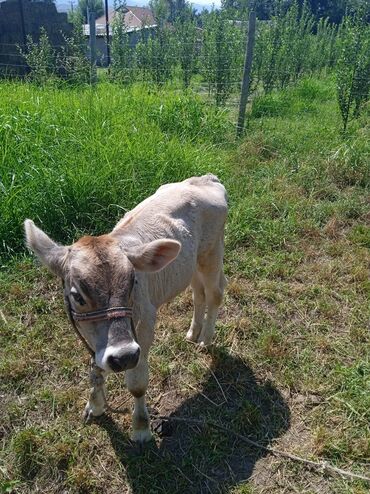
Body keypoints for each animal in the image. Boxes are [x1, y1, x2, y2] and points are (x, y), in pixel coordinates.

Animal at [24, 175, 227, 444]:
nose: (123, 356)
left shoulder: (145, 326)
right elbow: (97, 368)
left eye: (133, 283)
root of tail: (205, 178)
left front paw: (141, 428)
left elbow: (137, 384)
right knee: (198, 292)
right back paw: (193, 333)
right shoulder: (94, 339)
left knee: (214, 293)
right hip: (189, 264)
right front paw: (95, 405)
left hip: (212, 254)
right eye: (77, 296)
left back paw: (205, 339)